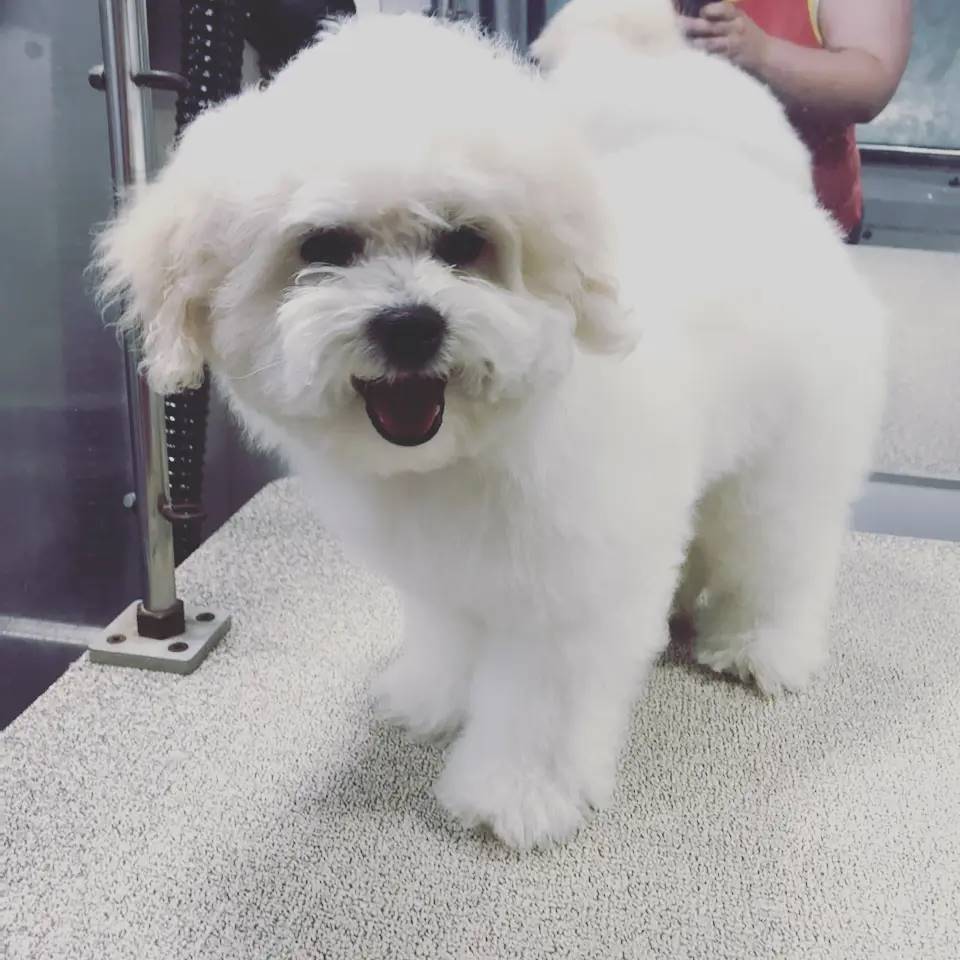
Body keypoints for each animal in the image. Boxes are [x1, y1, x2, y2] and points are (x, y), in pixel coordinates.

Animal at [97, 1, 884, 848]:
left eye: (464, 241)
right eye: (324, 246)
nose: (410, 324)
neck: (467, 449)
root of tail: (742, 173)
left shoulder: (565, 595)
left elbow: (542, 704)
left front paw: (516, 795)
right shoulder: (446, 575)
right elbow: (448, 635)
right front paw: (432, 699)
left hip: (785, 460)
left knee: (779, 553)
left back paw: (761, 647)